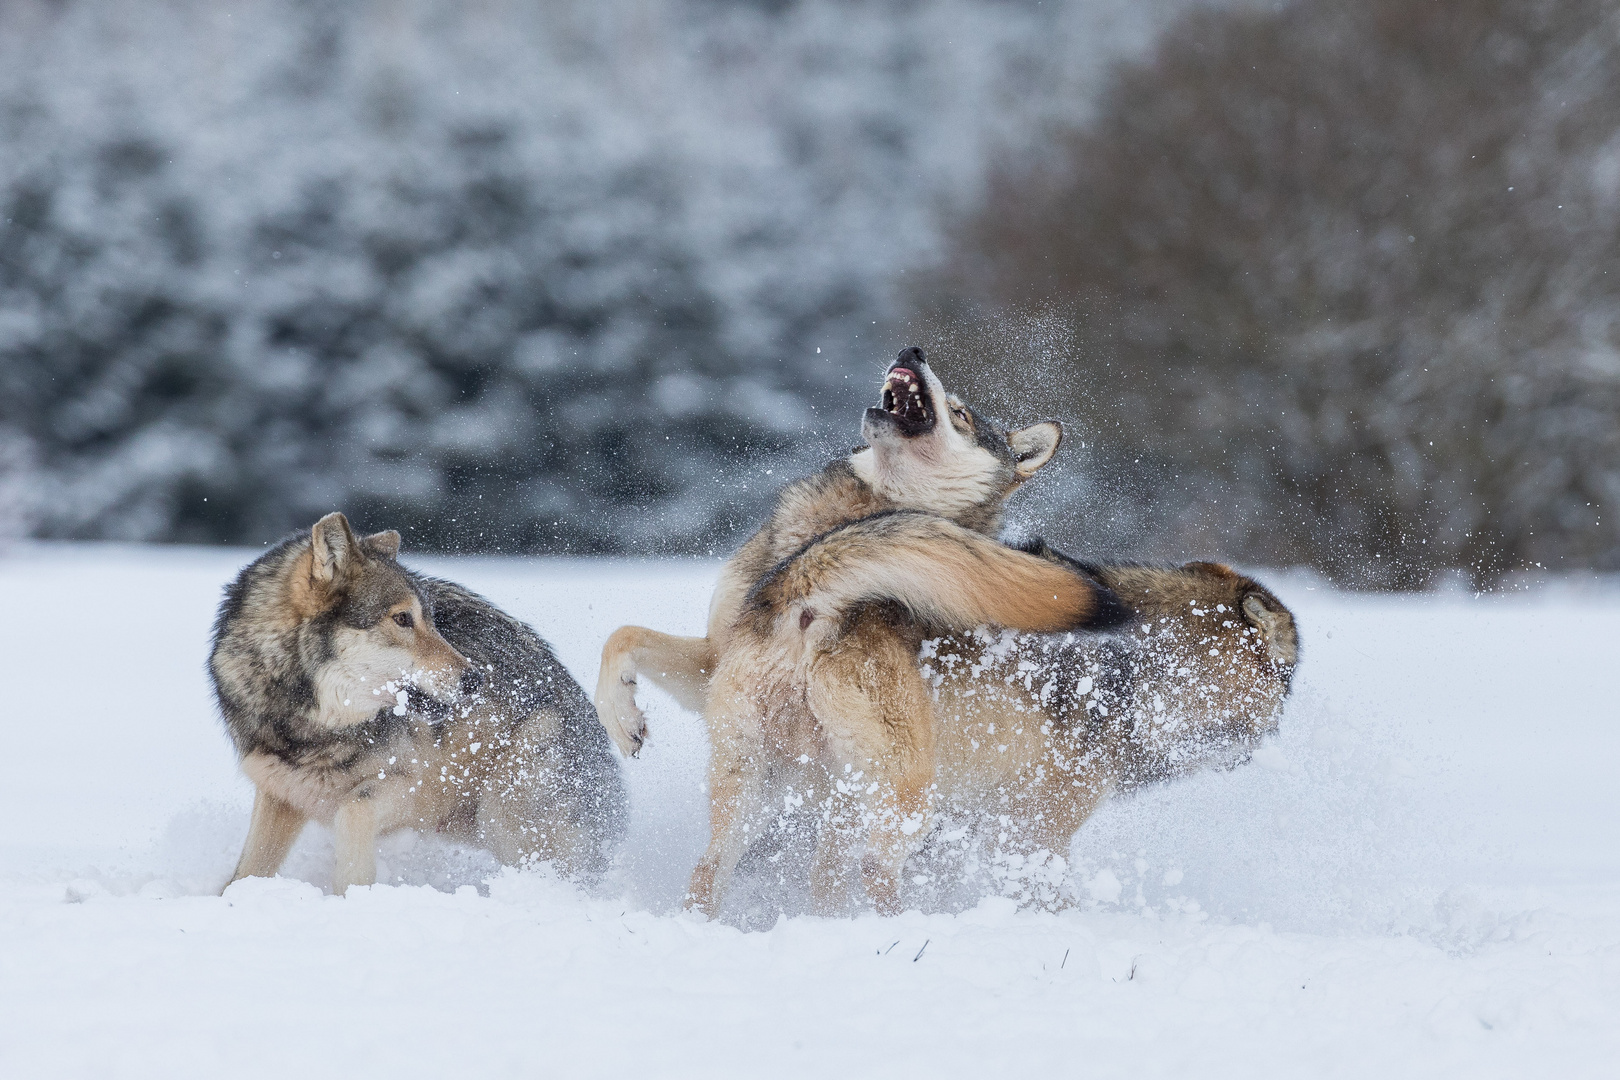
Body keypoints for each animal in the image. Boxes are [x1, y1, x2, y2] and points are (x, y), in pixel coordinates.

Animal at [210, 514, 625, 893]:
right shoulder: (279, 795)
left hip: (504, 809)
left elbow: (353, 813)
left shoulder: (411, 792)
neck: (308, 727)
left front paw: (351, 895)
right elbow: (243, 875)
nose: (475, 678)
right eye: (402, 619)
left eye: (433, 621)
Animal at [690, 514, 1296, 913]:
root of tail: (802, 592)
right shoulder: (1032, 835)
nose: (1271, 740)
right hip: (907, 797)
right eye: (1284, 688)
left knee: (722, 872)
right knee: (875, 871)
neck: (1145, 667)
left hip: (788, 794)